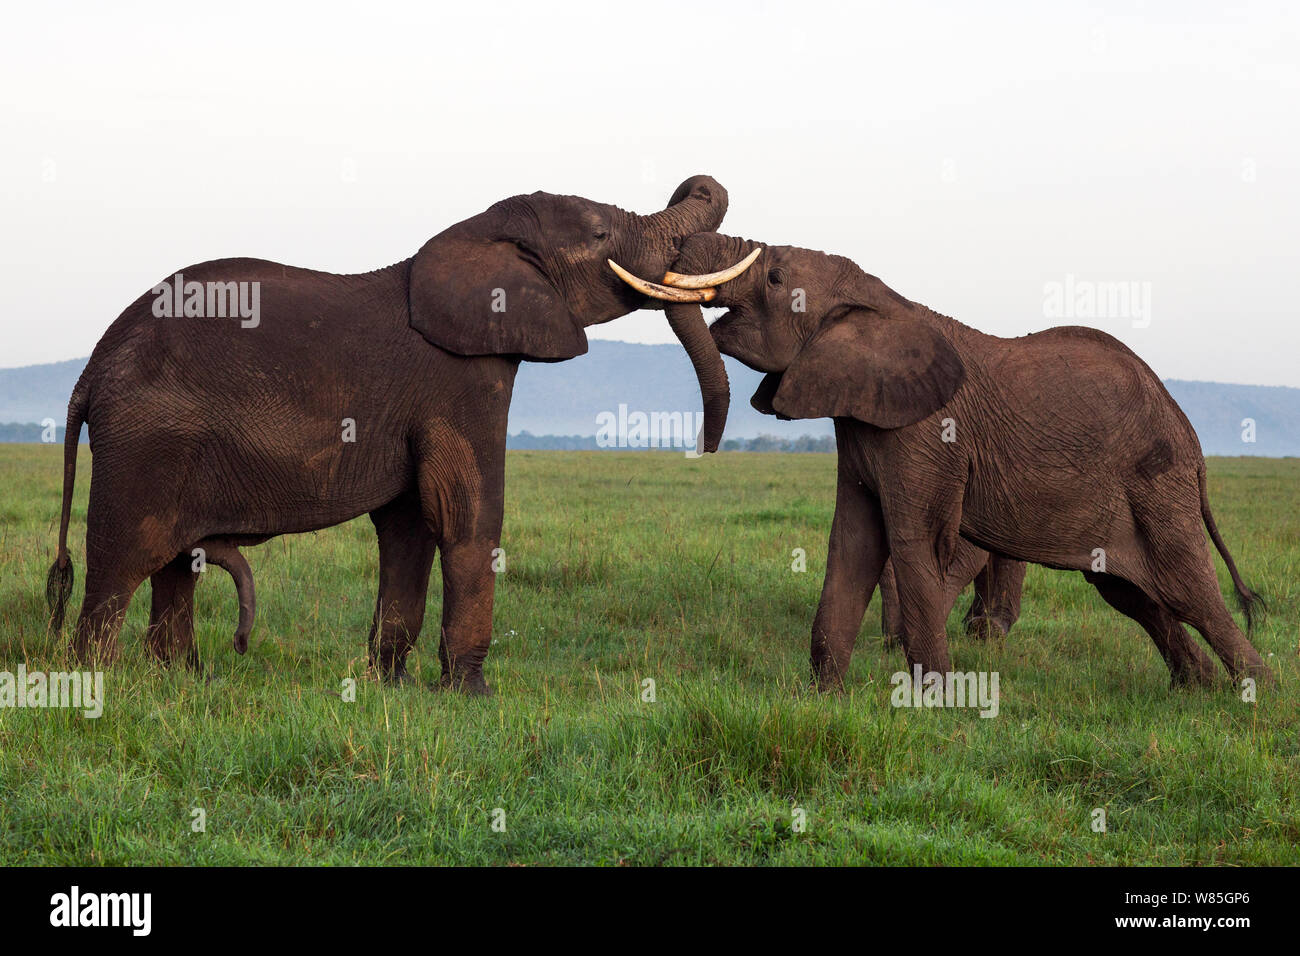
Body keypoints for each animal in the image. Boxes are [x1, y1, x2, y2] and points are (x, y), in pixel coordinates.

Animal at [48, 175, 759, 691]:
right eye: (600, 231)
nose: (704, 449)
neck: (477, 235)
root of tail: (91, 367)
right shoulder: (459, 379)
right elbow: (466, 514)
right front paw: (471, 695)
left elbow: (411, 524)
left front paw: (390, 687)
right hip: (146, 440)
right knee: (122, 560)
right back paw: (98, 685)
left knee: (175, 565)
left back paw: (184, 682)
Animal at [616, 235, 1268, 691]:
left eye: (775, 277)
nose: (705, 447)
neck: (879, 300)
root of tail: (1189, 433)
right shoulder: (864, 422)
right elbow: (852, 542)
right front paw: (824, 699)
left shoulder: (926, 434)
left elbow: (913, 544)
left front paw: (936, 704)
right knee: (1131, 594)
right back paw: (1197, 691)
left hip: (1156, 482)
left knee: (1189, 588)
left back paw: (1257, 695)